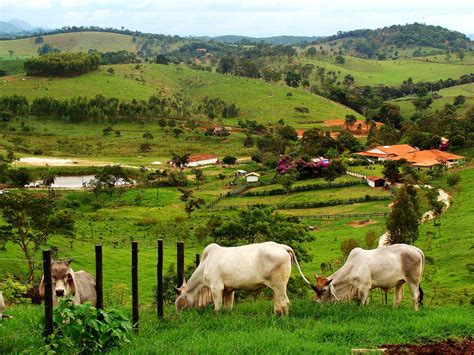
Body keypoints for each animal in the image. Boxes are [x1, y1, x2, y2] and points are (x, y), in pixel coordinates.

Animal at [174, 242, 312, 318]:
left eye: (179, 302)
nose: (179, 317)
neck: (205, 264)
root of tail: (282, 247)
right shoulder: (229, 290)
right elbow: (228, 307)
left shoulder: (216, 288)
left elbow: (217, 308)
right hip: (275, 288)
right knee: (277, 303)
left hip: (280, 285)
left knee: (284, 302)